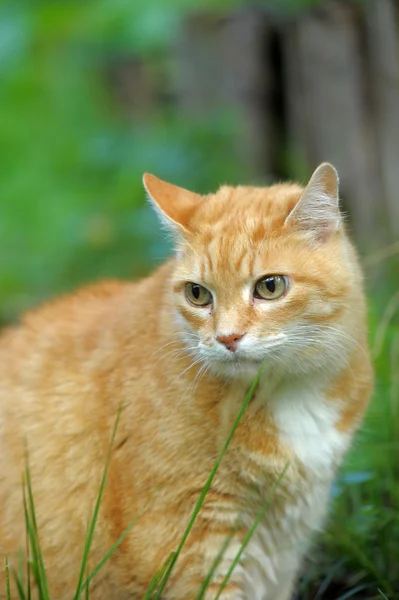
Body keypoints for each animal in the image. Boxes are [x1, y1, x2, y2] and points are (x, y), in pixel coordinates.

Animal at [0, 162, 376, 596]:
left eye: (270, 286)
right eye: (198, 294)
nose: (227, 338)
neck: (285, 393)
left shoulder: (282, 552)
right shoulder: (189, 548)